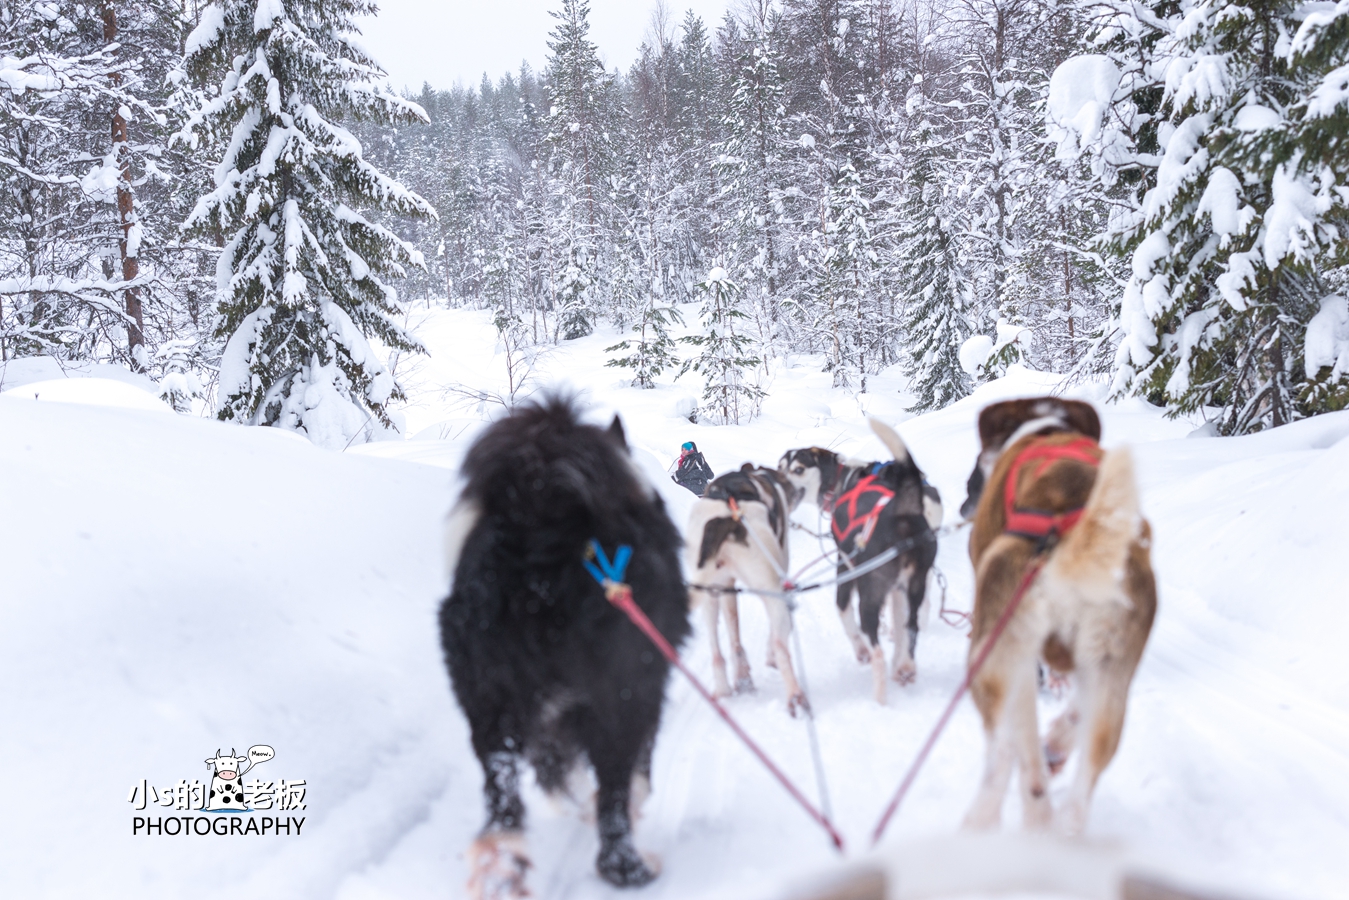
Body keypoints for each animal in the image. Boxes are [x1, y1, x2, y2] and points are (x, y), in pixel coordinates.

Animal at [442, 396, 690, 895]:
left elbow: (555, 771)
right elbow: (632, 776)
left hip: (490, 705)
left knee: (502, 798)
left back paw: (500, 869)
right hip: (621, 694)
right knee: (614, 794)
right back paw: (630, 867)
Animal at [690, 469, 804, 712]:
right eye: (788, 481)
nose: (799, 490)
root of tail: (726, 518)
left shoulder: (726, 587)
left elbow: (734, 631)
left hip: (709, 593)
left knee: (717, 651)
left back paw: (728, 686)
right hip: (771, 587)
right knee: (780, 642)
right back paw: (795, 695)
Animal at [960, 402, 1160, 836]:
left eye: (972, 482)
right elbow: (1076, 711)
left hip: (997, 658)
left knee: (1008, 754)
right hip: (1110, 668)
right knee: (1085, 773)